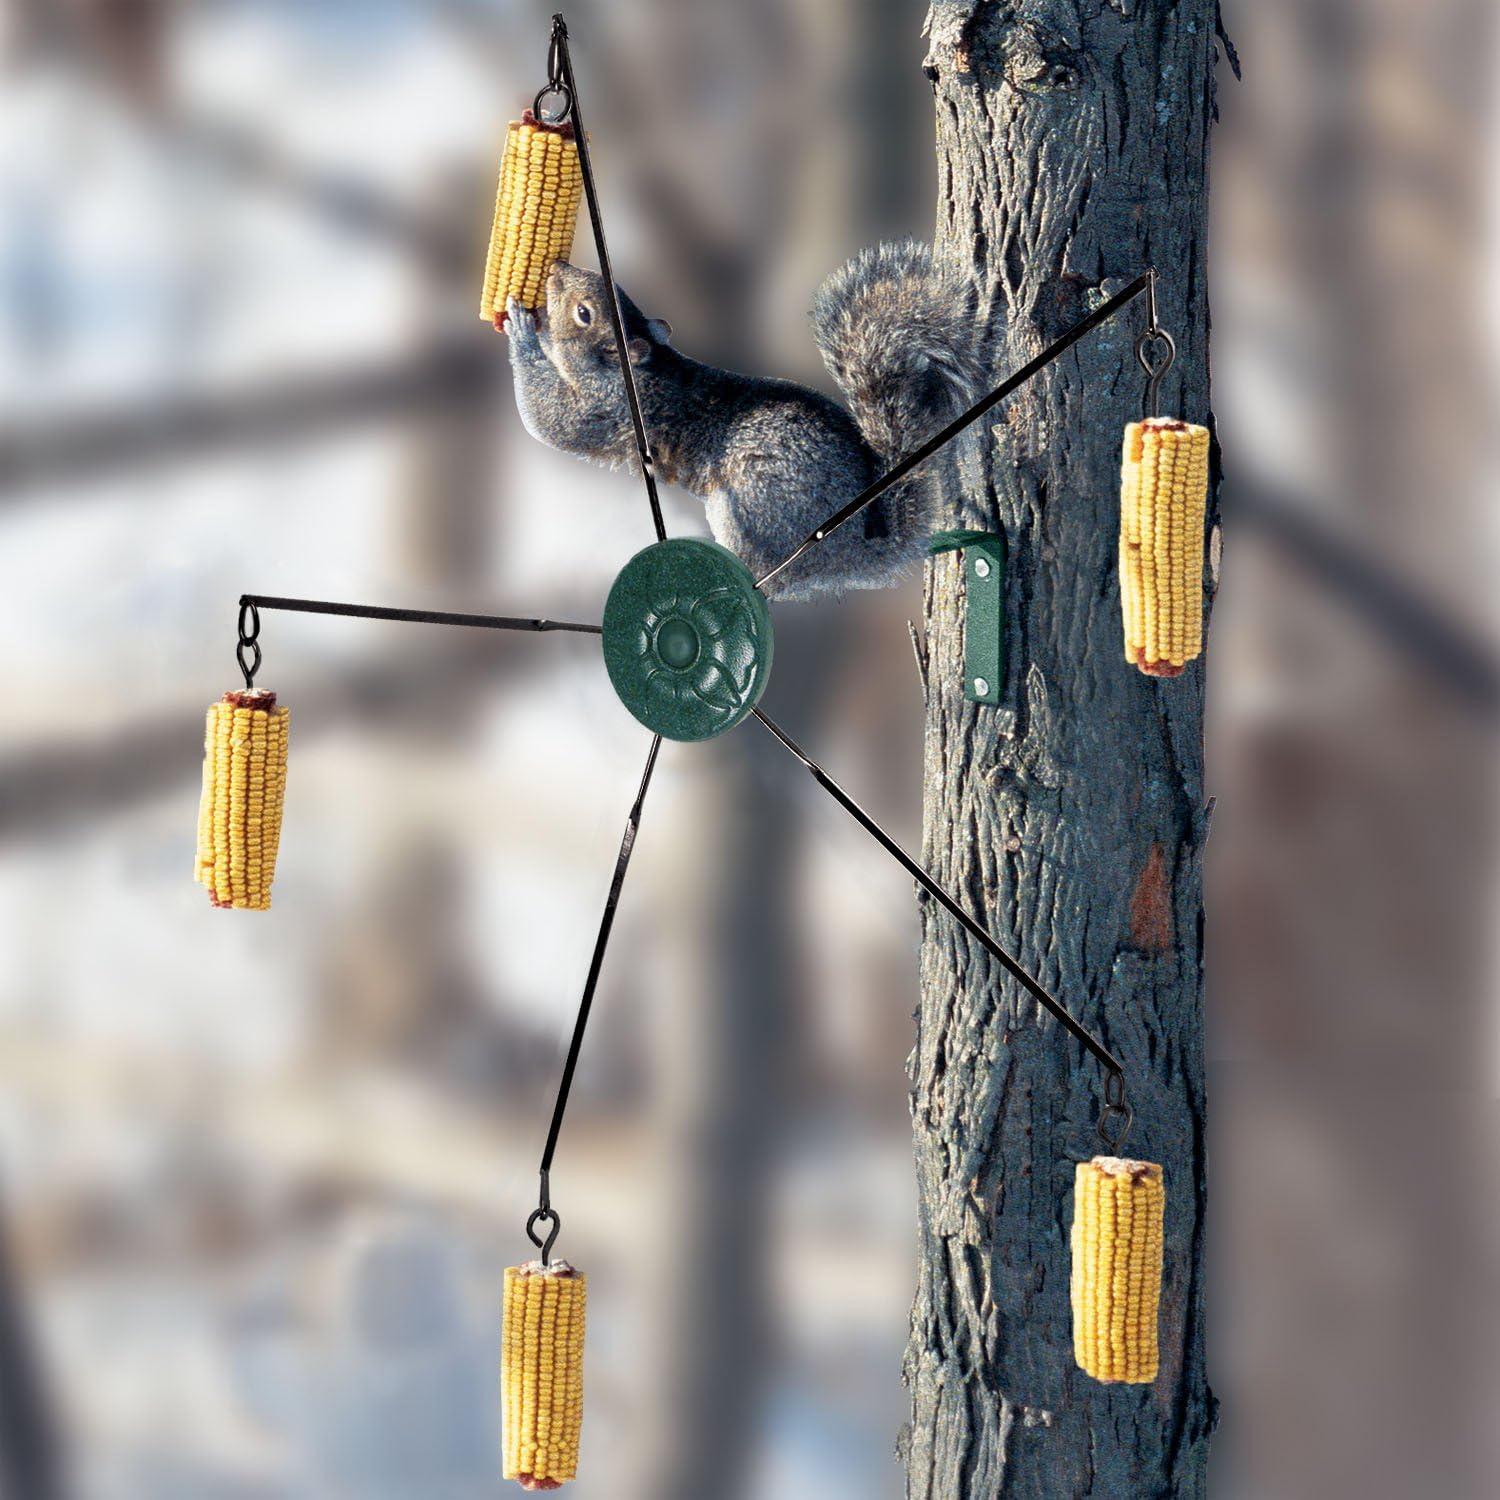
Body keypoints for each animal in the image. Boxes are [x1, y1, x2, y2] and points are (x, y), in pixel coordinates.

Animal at [503, 240, 982, 601]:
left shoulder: (607, 407)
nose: (556, 268)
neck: (644, 368)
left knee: (771, 584)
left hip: (749, 510)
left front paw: (522, 331)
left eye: (584, 313)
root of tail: (854, 556)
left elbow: (550, 419)